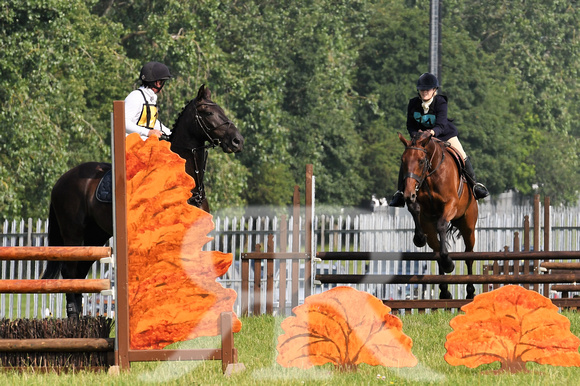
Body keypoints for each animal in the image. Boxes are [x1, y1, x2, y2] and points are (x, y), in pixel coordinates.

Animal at [42, 84, 244, 316]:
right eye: (208, 112)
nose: (238, 141)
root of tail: (61, 180)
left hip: (95, 236)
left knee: (80, 272)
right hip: (74, 234)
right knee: (70, 270)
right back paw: (74, 314)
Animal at [396, 131, 478, 300]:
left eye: (421, 161)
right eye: (403, 161)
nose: (407, 194)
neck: (430, 175)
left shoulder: (451, 204)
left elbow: (441, 224)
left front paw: (449, 263)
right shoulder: (422, 209)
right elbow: (414, 209)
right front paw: (419, 238)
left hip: (468, 226)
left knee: (469, 255)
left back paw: (470, 291)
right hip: (431, 229)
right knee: (437, 249)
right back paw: (445, 291)